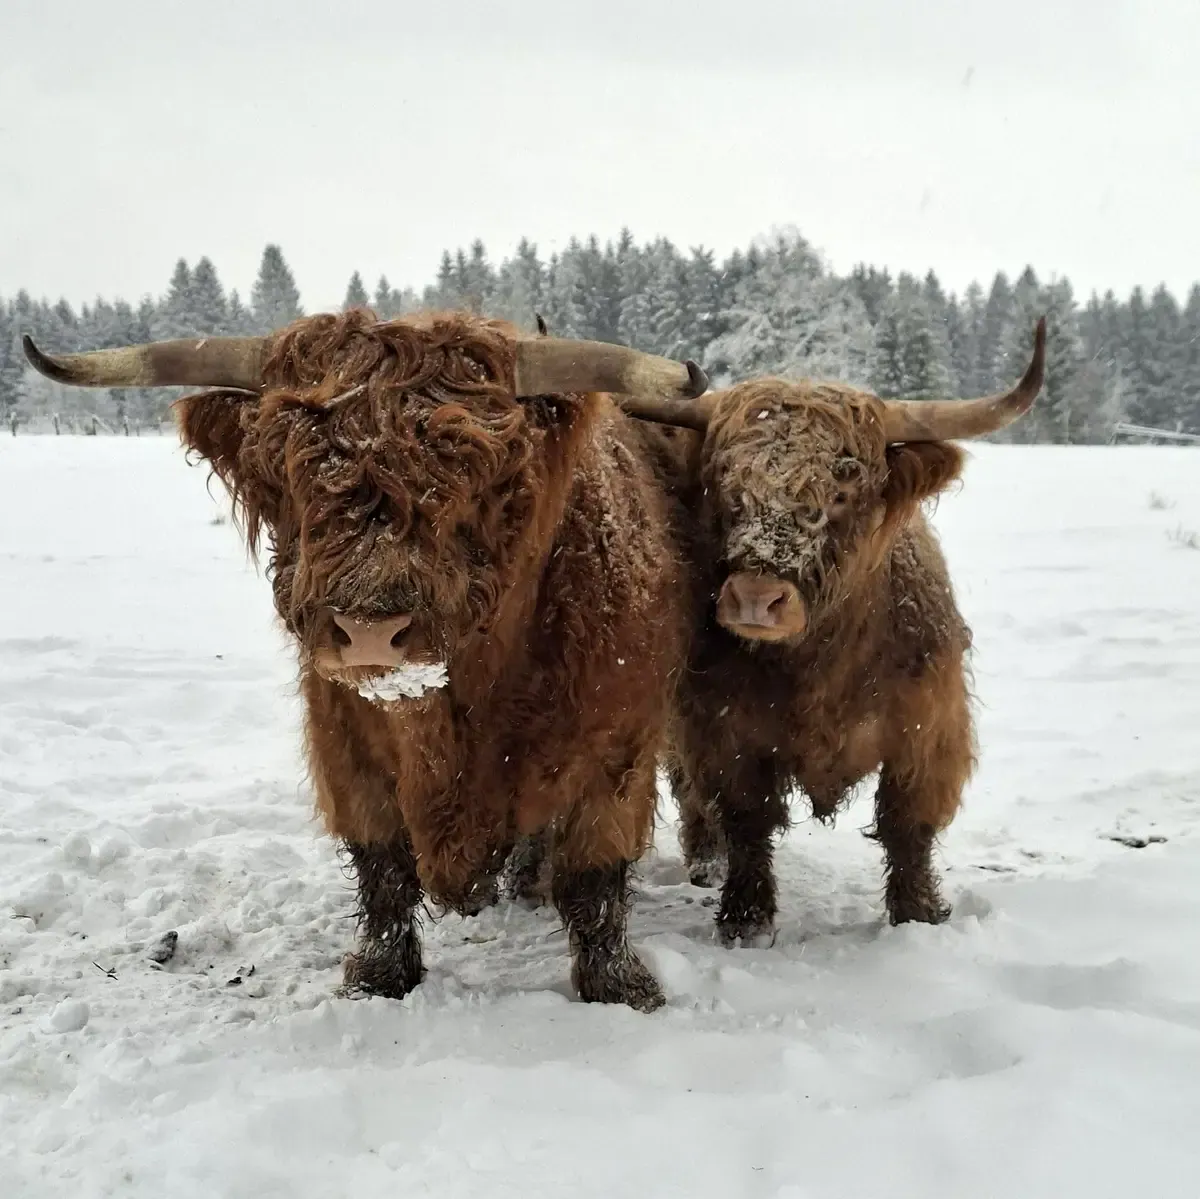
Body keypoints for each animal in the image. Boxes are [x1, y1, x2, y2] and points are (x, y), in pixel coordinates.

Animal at [22, 308, 710, 1011]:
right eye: (288, 471)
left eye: (481, 480)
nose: (371, 631)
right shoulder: (344, 743)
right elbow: (383, 871)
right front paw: (381, 975)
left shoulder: (617, 748)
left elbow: (594, 876)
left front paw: (619, 985)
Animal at [615, 319, 1046, 946]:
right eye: (726, 483)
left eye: (842, 490)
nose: (755, 598)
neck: (822, 663)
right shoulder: (722, 728)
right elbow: (745, 818)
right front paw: (746, 918)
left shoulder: (928, 728)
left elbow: (907, 825)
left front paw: (917, 914)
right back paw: (705, 860)